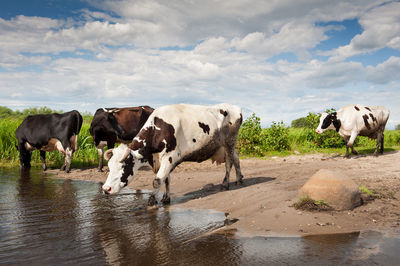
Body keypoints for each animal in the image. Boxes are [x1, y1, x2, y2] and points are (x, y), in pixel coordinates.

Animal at [100, 104, 244, 206]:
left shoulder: (169, 157)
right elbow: (166, 179)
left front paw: (152, 201)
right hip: (223, 146)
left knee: (229, 162)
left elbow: (157, 181)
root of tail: (234, 107)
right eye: (110, 167)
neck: (158, 129)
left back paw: (225, 184)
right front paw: (165, 198)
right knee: (236, 157)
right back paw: (239, 179)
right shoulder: (160, 159)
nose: (106, 189)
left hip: (230, 141)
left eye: (123, 166)